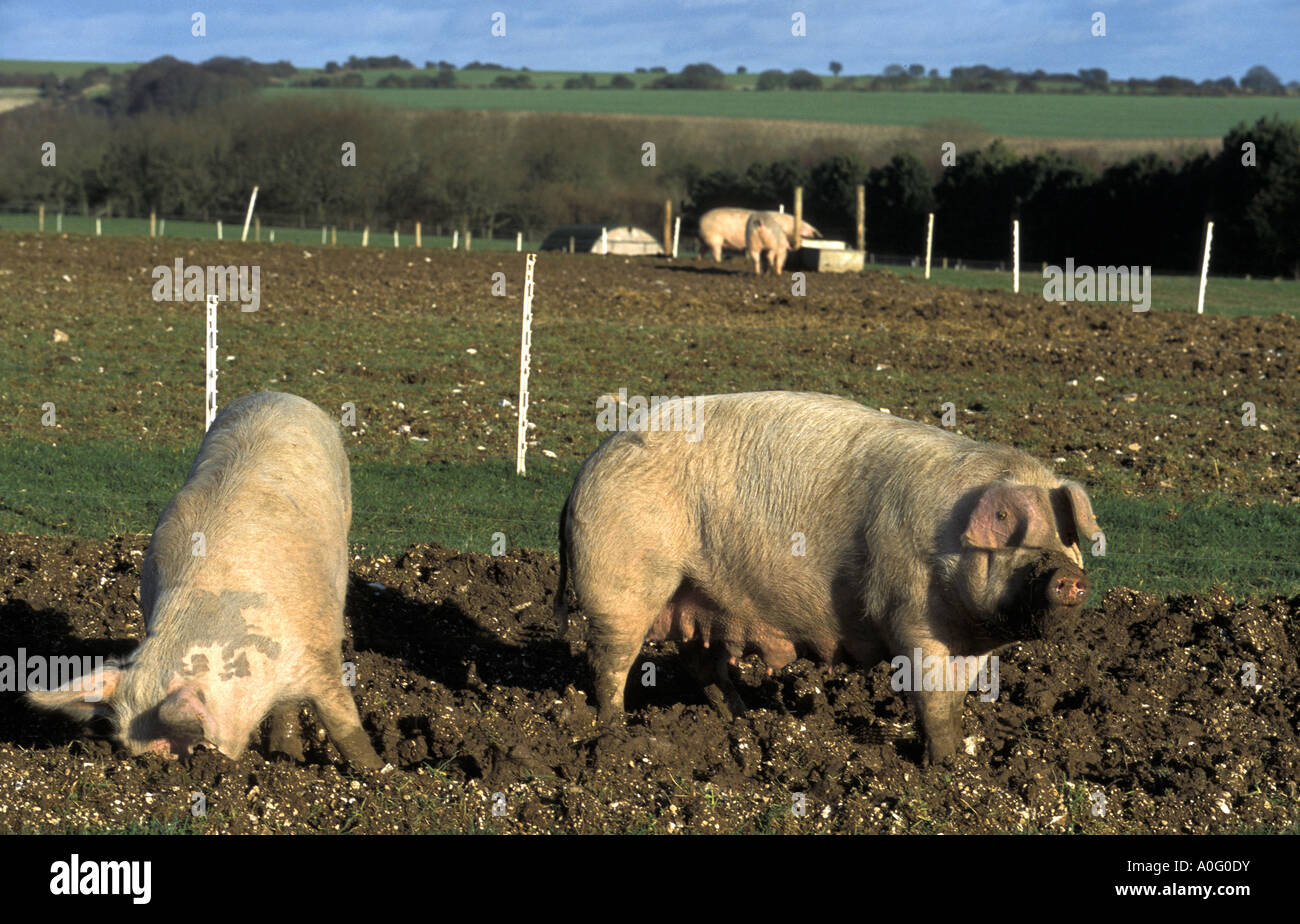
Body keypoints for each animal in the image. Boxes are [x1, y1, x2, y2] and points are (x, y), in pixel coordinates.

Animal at [28, 391, 384, 771]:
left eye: (192, 745)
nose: (154, 764)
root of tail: (277, 394)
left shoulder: (318, 648)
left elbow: (342, 721)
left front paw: (377, 771)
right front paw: (284, 756)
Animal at [555, 391, 1100, 763]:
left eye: (1066, 540)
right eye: (1017, 537)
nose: (1070, 575)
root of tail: (583, 472)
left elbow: (953, 702)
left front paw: (957, 763)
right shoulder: (909, 613)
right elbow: (930, 697)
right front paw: (944, 768)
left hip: (700, 594)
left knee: (700, 662)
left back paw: (743, 721)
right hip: (618, 584)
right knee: (610, 661)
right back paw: (613, 733)